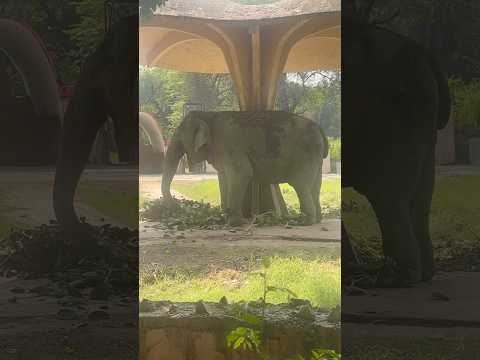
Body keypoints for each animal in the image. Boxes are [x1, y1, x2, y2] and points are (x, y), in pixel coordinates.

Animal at [162, 111, 330, 226]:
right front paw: (224, 217)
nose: (177, 207)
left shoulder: (229, 145)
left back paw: (303, 222)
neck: (209, 114)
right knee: (315, 186)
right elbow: (224, 178)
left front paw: (236, 223)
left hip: (306, 153)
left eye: (178, 138)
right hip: (316, 156)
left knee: (300, 184)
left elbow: (242, 173)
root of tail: (321, 130)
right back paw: (317, 220)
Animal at [342, 0, 450, 286]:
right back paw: (420, 274)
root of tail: (422, 52)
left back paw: (395, 278)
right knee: (420, 198)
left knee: (386, 192)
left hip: (389, 115)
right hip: (420, 122)